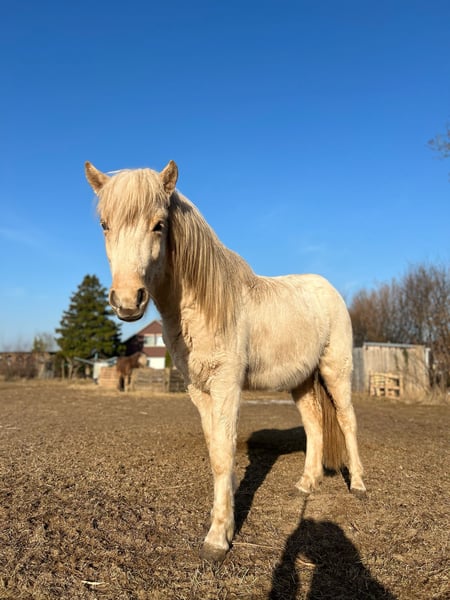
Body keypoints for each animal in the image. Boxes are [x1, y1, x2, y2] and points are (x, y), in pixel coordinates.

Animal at [85, 159, 366, 562]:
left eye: (159, 224)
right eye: (105, 225)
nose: (127, 301)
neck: (205, 305)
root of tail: (329, 290)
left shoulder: (227, 386)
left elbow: (224, 452)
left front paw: (219, 538)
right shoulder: (199, 390)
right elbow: (216, 453)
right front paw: (222, 520)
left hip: (335, 371)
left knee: (346, 422)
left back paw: (358, 484)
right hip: (300, 380)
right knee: (314, 425)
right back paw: (305, 484)